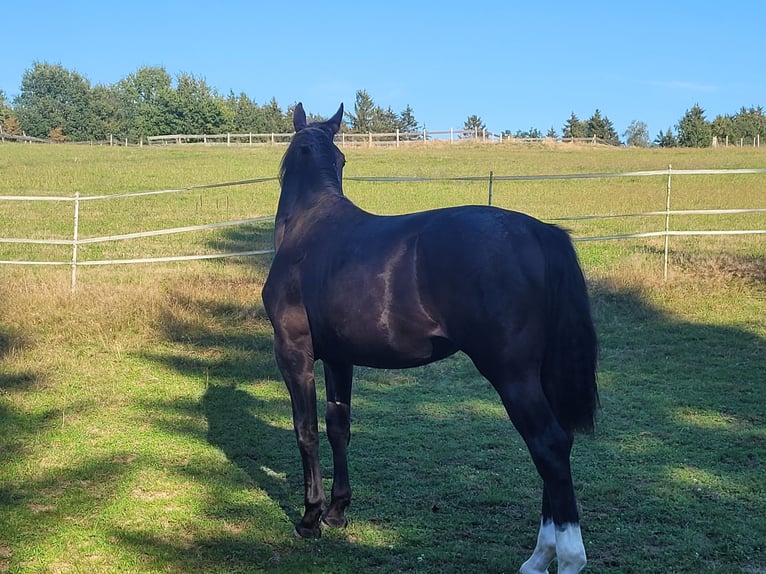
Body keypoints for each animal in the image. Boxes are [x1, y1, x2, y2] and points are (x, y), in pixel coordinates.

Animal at [262, 104, 600, 574]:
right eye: (343, 159)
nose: (323, 514)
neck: (307, 229)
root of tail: (538, 232)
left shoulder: (294, 353)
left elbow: (305, 430)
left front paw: (310, 517)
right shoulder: (339, 359)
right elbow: (338, 427)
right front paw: (337, 512)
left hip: (512, 376)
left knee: (549, 446)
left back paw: (563, 558)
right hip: (540, 375)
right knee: (558, 448)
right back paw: (539, 558)